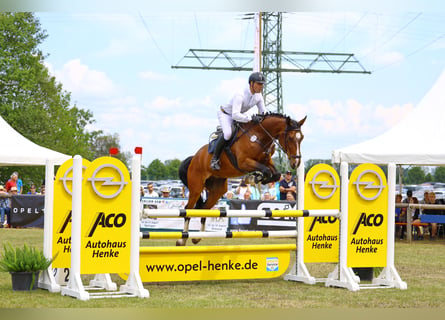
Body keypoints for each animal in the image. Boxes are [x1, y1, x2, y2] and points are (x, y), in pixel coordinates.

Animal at [177, 112, 306, 245]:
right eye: (290, 138)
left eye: (301, 138)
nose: (296, 163)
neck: (259, 136)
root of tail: (194, 158)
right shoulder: (244, 162)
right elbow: (266, 171)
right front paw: (255, 178)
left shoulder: (267, 161)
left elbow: (276, 174)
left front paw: (259, 178)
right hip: (196, 187)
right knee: (188, 209)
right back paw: (182, 240)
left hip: (217, 190)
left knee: (204, 208)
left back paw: (197, 238)